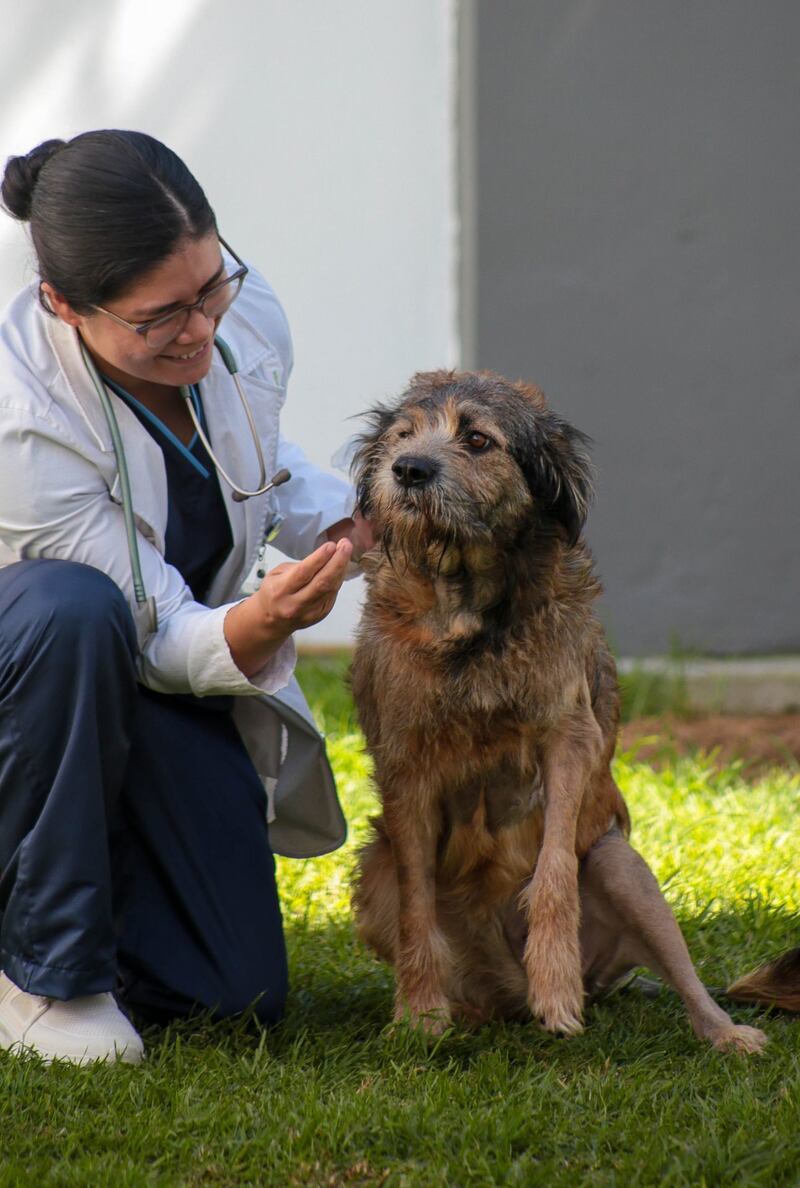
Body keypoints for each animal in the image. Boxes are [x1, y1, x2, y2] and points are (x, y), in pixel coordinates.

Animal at [351, 365, 765, 1054]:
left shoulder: (568, 735)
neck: (470, 614)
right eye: (403, 435)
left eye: (478, 440)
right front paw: (417, 1015)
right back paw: (462, 1010)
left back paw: (723, 1032)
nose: (408, 470)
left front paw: (555, 980)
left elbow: (552, 876)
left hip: (622, 867)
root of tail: (505, 990)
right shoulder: (405, 762)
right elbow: (417, 905)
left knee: (681, 975)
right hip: (372, 874)